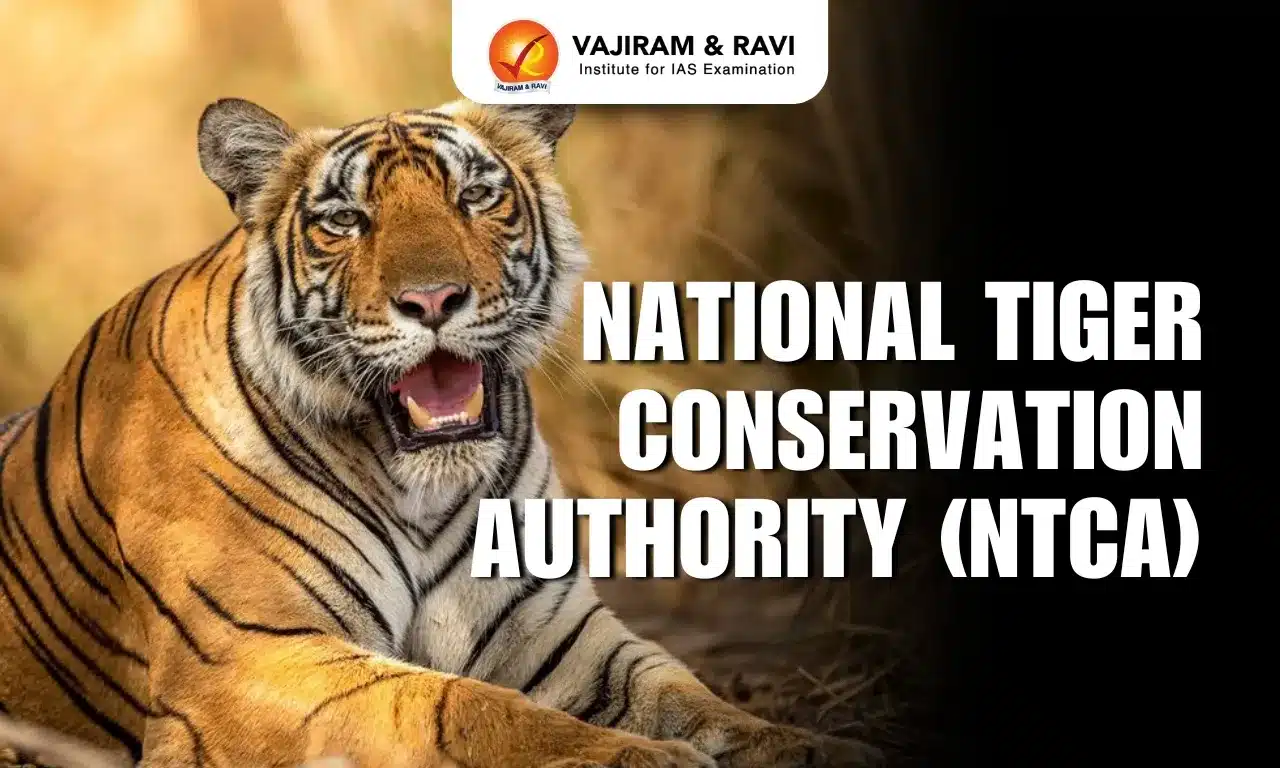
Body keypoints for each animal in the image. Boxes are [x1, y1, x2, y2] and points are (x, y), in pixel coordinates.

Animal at [0, 98, 882, 768]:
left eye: (475, 199)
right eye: (345, 221)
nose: (431, 301)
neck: (415, 486)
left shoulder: (563, 636)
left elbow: (690, 697)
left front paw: (820, 748)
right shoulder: (250, 653)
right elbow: (462, 707)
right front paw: (642, 760)